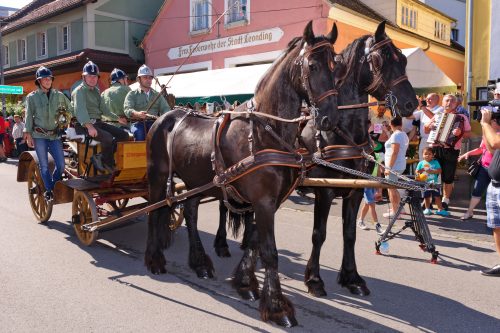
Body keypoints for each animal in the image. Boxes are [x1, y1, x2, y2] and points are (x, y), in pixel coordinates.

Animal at [143, 22, 342, 326]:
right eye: (312, 65)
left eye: (336, 66)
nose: (330, 118)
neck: (264, 131)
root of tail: (162, 118)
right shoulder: (263, 201)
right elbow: (270, 252)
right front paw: (277, 307)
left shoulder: (268, 202)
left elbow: (254, 241)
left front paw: (246, 283)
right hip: (157, 177)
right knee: (155, 213)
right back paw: (154, 260)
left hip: (196, 181)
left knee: (190, 212)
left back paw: (199, 262)